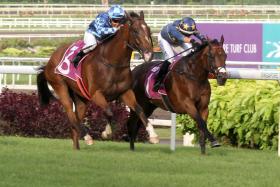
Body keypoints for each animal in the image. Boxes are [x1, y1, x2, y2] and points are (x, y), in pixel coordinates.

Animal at [36, 11, 160, 149]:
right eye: (135, 30)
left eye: (149, 29)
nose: (149, 54)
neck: (112, 63)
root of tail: (49, 62)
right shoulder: (96, 94)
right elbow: (109, 112)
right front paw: (107, 132)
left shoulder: (125, 92)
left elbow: (139, 109)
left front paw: (153, 135)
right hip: (60, 86)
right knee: (71, 114)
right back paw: (87, 137)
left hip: (81, 98)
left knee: (75, 121)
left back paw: (76, 147)